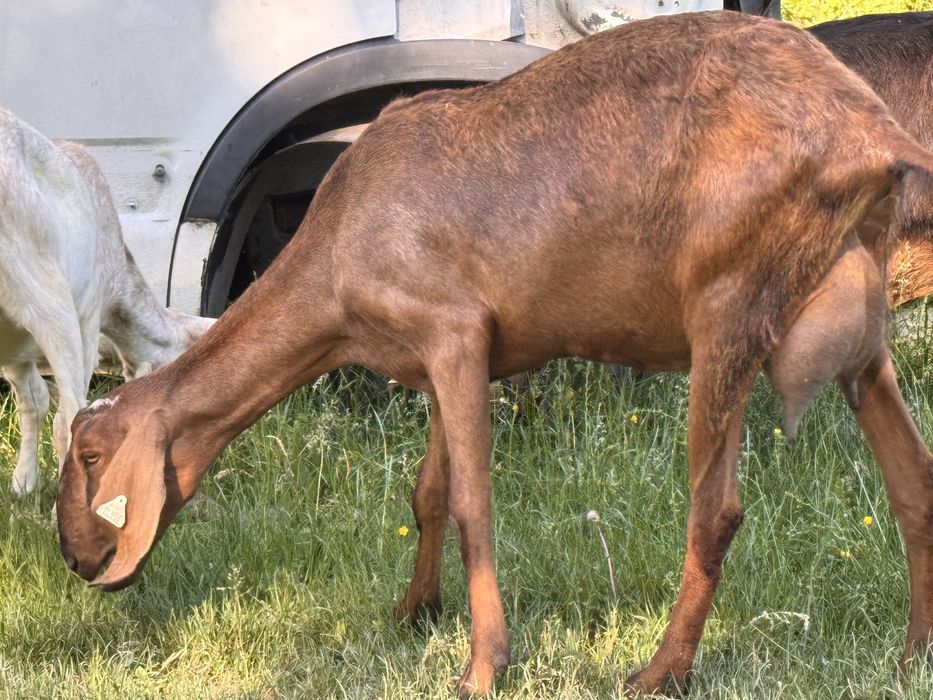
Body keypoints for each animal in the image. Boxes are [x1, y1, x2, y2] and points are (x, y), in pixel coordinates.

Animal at [0, 109, 213, 495]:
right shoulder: (88, 314)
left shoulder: (12, 345)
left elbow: (32, 401)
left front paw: (23, 483)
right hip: (47, 294)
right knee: (70, 417)